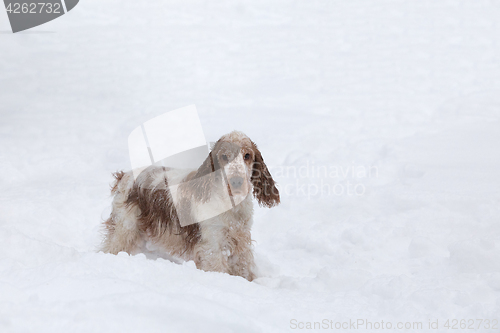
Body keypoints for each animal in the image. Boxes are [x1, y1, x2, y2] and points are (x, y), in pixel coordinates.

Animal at [100, 130, 282, 280]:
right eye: (224, 156)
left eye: (247, 155)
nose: (236, 181)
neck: (231, 205)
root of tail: (125, 175)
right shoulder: (212, 245)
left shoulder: (241, 240)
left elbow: (244, 268)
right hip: (124, 229)